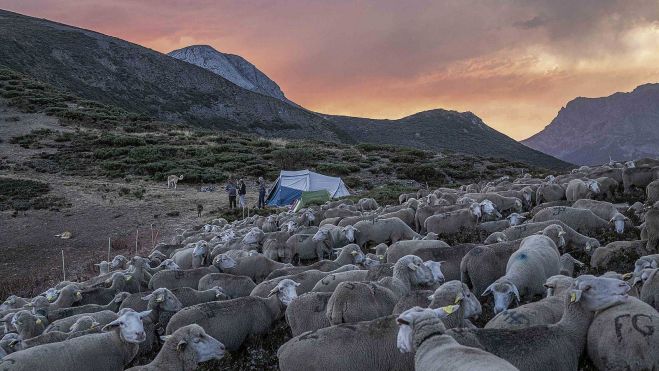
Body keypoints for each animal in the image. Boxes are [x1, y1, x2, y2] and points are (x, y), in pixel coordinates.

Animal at [165, 280, 300, 352]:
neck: (268, 307)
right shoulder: (255, 336)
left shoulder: (241, 340)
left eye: (295, 287)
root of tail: (169, 325)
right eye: (281, 289)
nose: (294, 299)